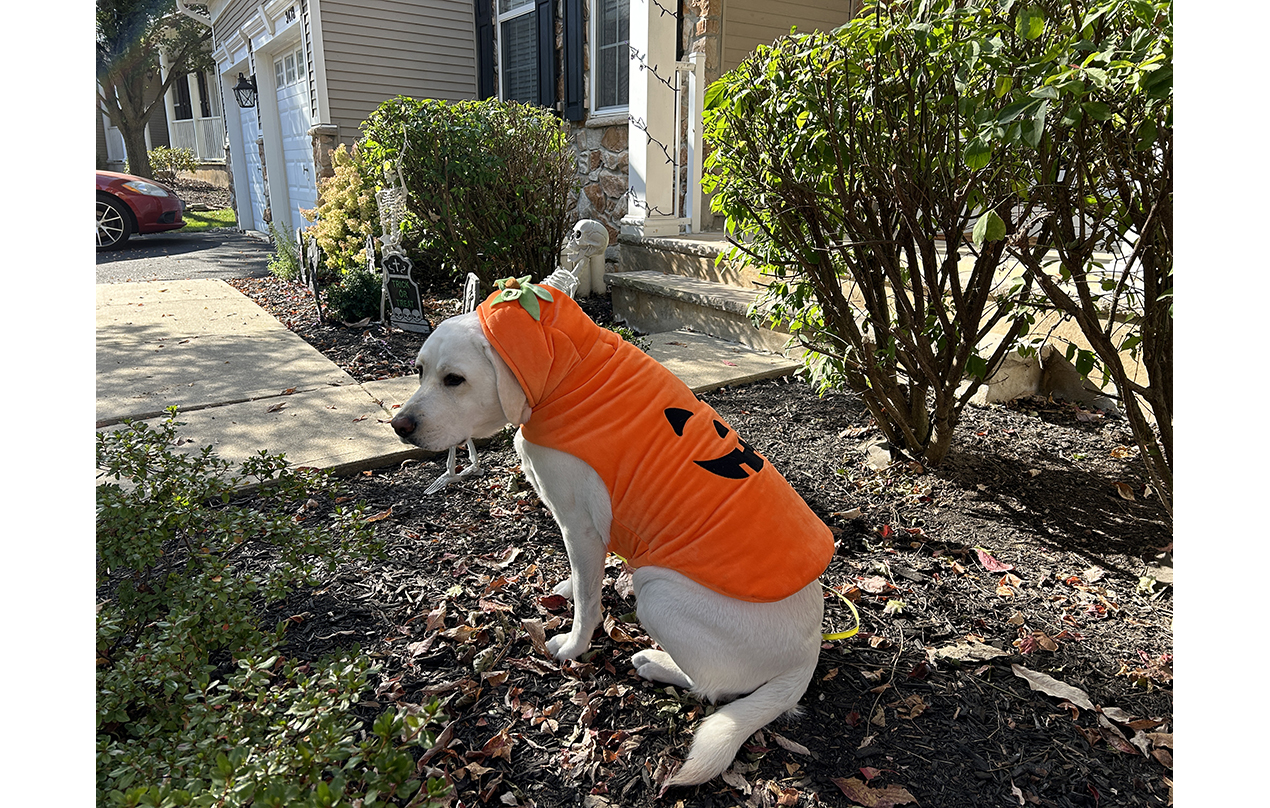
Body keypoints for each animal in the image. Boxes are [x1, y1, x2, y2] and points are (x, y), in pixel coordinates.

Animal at [393, 284, 833, 787]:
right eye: (420, 371)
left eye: (455, 380)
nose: (399, 426)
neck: (567, 368)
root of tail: (807, 655)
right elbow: (586, 577)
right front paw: (569, 587)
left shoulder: (579, 525)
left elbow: (588, 603)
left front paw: (573, 646)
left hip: (658, 592)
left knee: (713, 686)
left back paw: (656, 663)